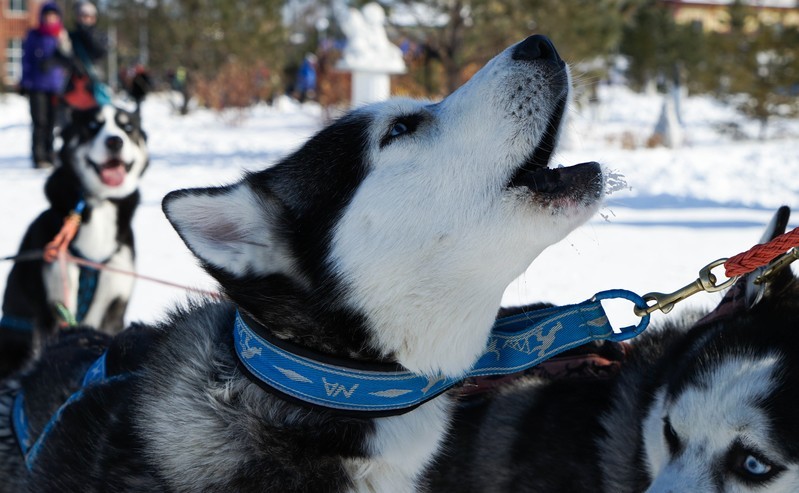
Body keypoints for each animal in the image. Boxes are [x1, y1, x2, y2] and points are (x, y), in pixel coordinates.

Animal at [0, 105, 149, 376]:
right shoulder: (53, 308)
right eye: (92, 126)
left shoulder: (115, 307)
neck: (100, 204)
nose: (115, 140)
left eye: (127, 127)